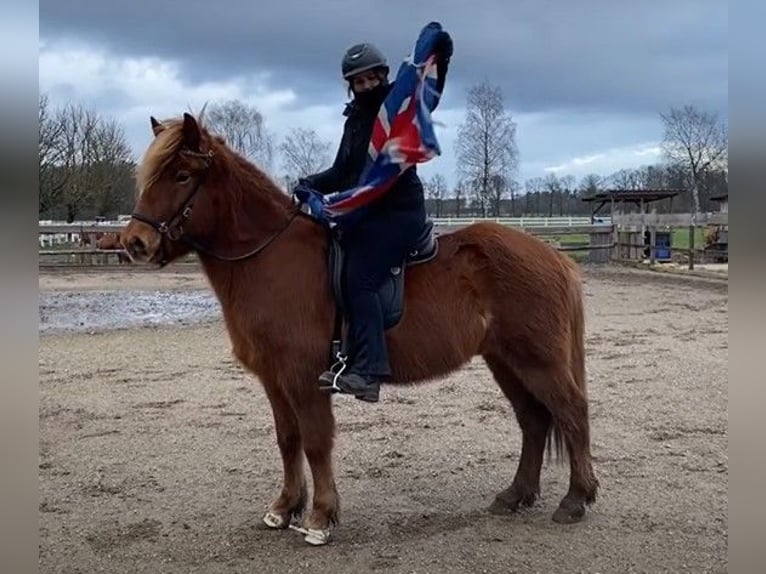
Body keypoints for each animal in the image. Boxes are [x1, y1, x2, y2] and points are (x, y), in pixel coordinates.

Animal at [121, 112, 600, 548]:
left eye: (182, 175)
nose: (134, 243)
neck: (270, 257)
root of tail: (553, 255)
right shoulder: (274, 380)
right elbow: (287, 439)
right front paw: (284, 508)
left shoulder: (303, 377)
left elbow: (316, 442)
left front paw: (319, 517)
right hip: (505, 360)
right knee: (534, 421)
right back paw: (515, 495)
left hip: (537, 360)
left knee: (571, 412)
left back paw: (575, 499)